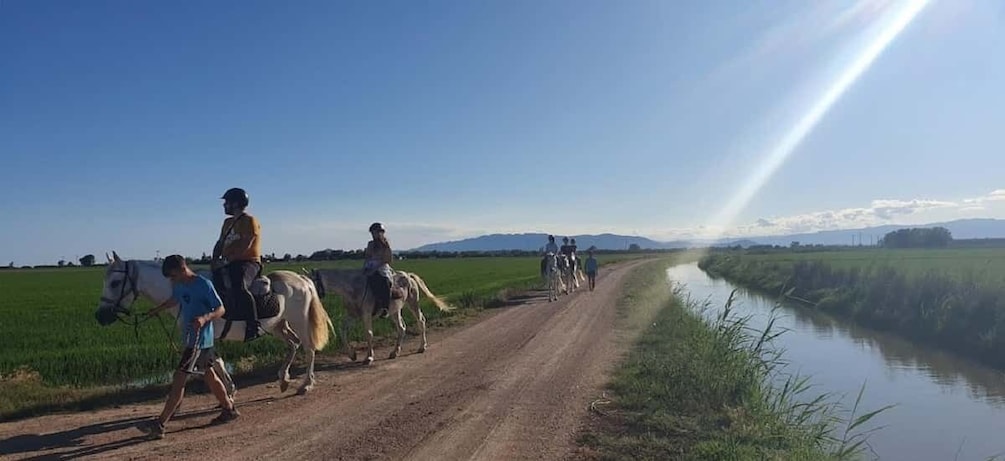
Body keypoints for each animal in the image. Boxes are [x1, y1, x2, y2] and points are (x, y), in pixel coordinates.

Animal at [93, 253, 333, 397]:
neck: (185, 292)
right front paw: (230, 390)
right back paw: (283, 379)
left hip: (298, 321)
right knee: (293, 344)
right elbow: (216, 361)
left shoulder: (201, 334)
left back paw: (306, 384)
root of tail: (302, 280)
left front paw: (228, 392)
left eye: (115, 282)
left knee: (308, 348)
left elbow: (209, 363)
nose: (100, 316)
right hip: (278, 325)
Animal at [307, 269, 454, 365]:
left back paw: (422, 347)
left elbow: (368, 334)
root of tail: (409, 275)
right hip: (395, 311)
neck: (353, 287)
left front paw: (369, 357)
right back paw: (394, 353)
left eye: (311, 283)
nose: (309, 300)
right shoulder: (352, 315)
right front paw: (352, 355)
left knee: (421, 321)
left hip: (413, 304)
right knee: (401, 328)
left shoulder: (366, 315)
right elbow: (343, 331)